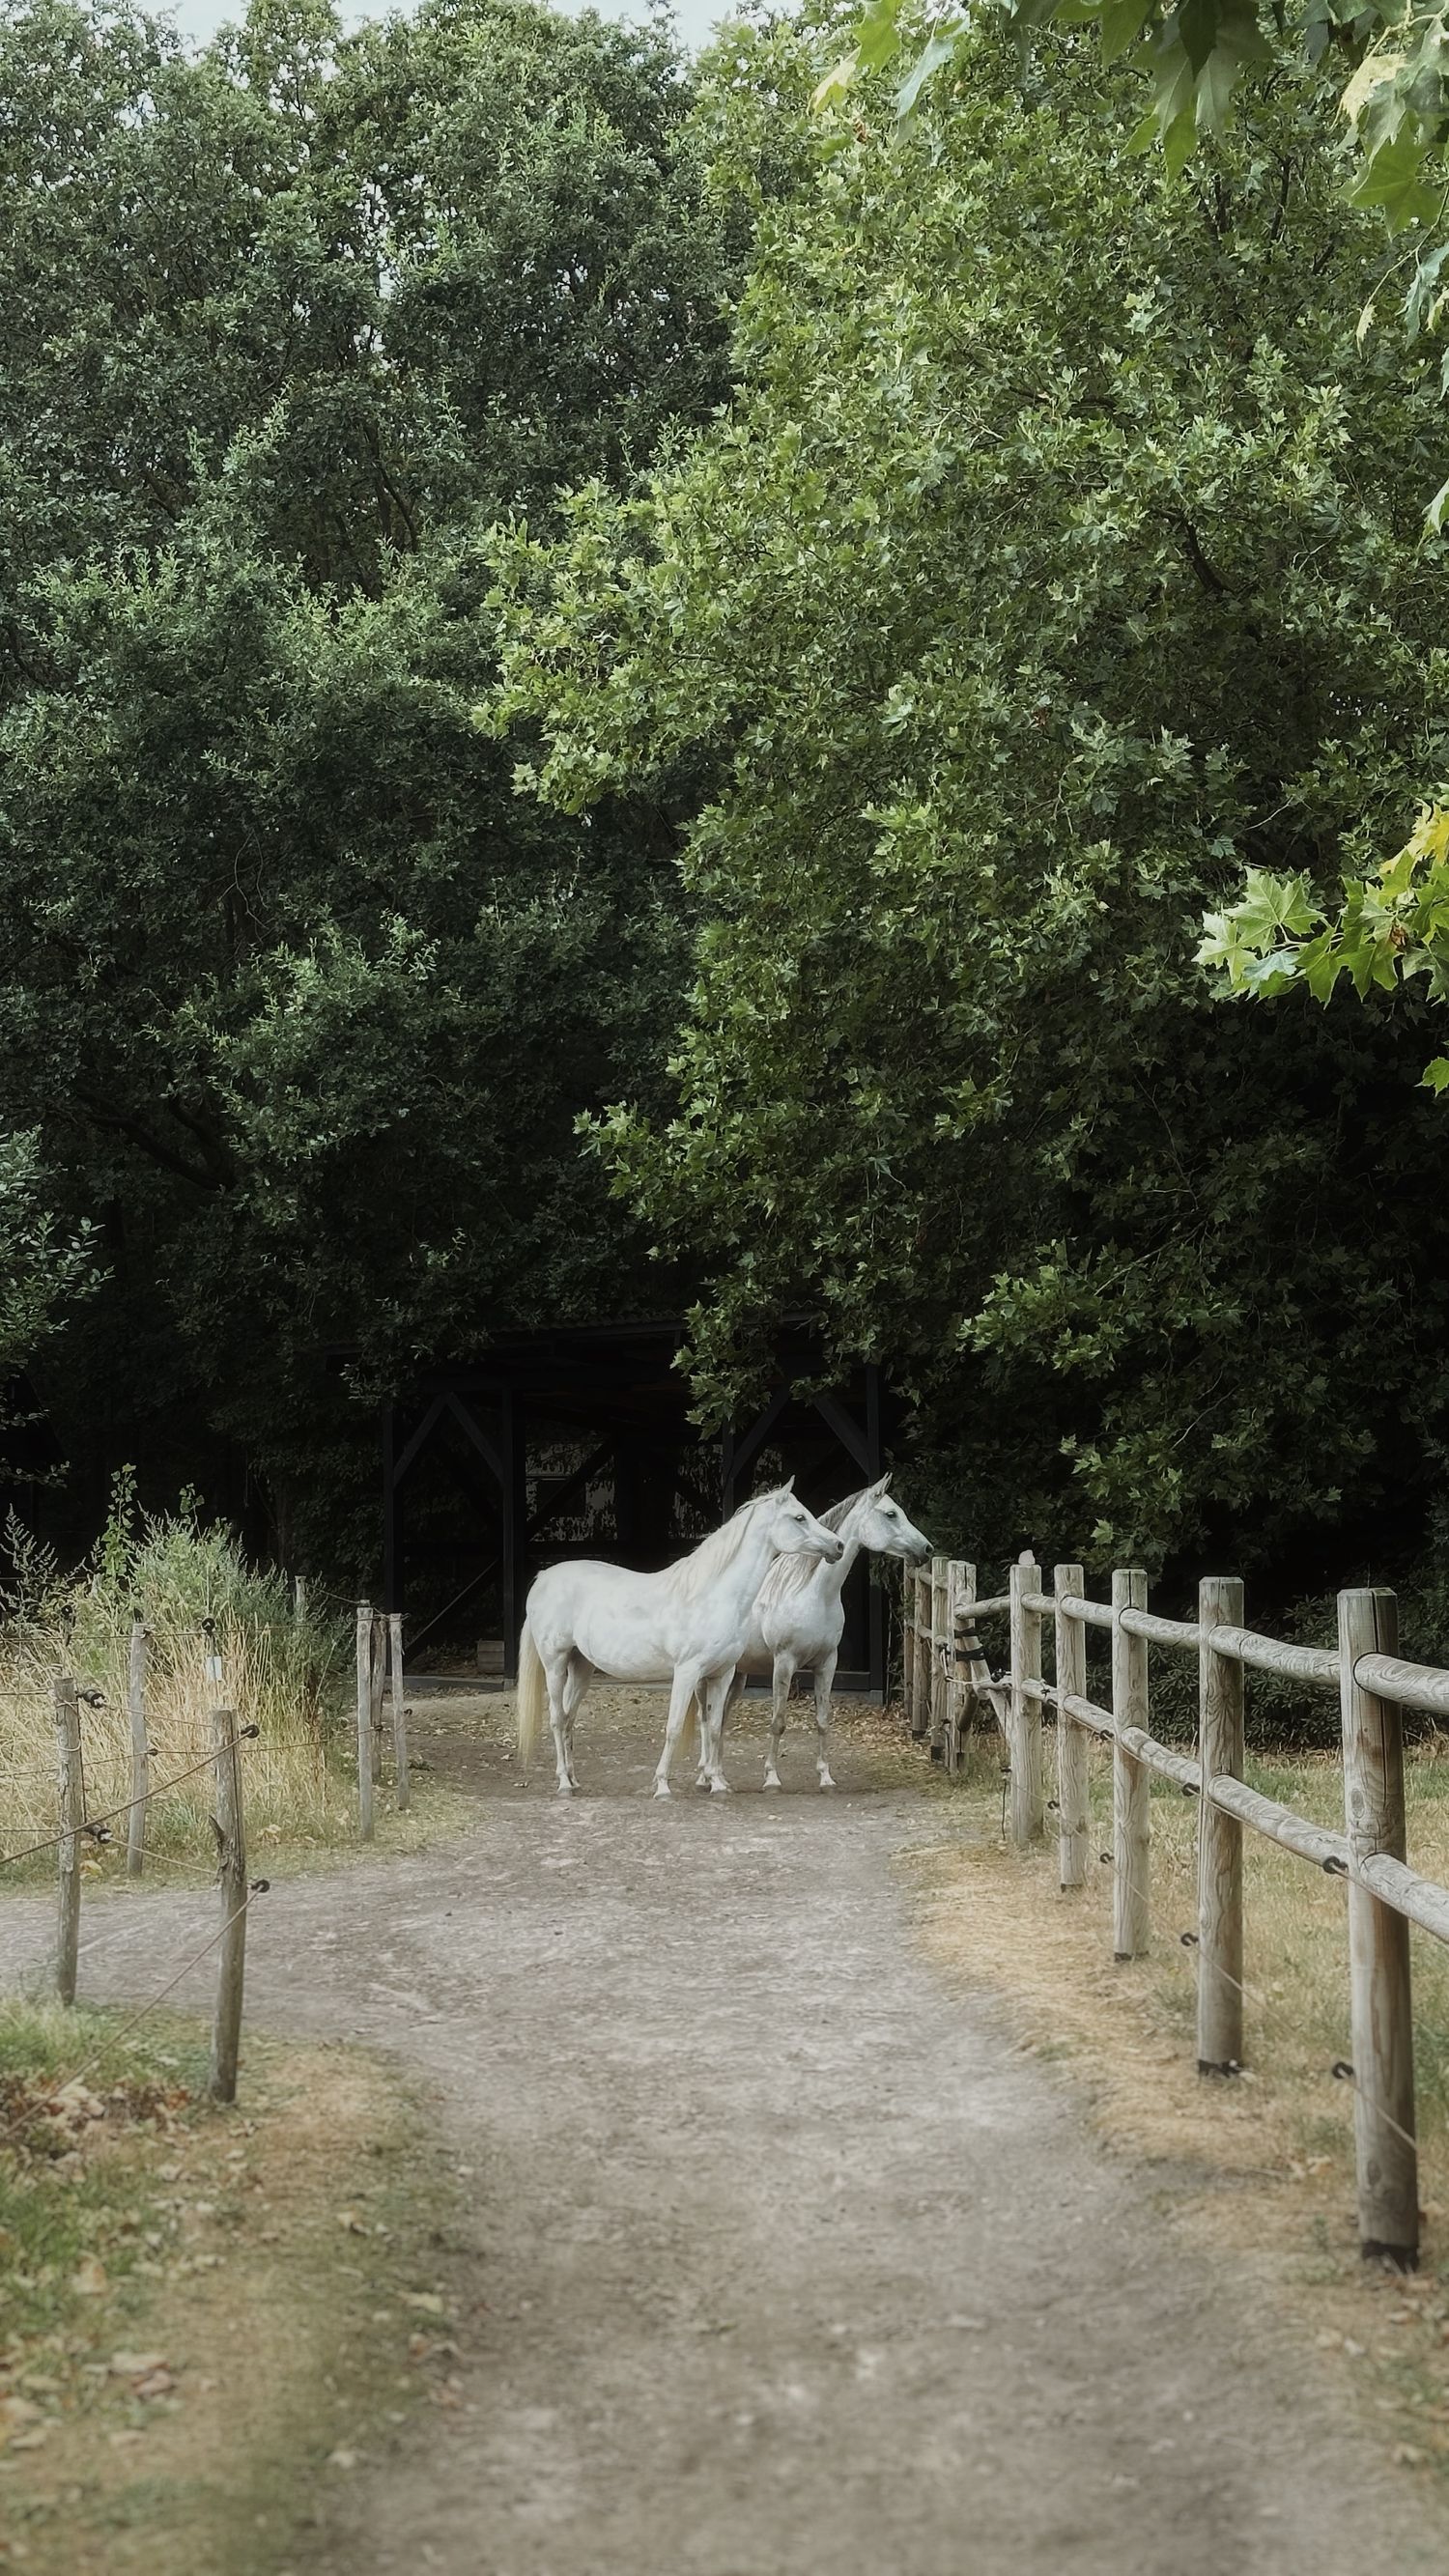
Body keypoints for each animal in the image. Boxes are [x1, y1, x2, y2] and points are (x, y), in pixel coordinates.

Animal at [515, 1482, 845, 1798]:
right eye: (799, 1517)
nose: (838, 1545)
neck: (711, 1597)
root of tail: (543, 1579)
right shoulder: (686, 1672)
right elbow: (674, 1728)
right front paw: (662, 1786)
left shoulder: (722, 1674)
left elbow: (714, 1728)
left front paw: (717, 1784)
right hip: (555, 1663)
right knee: (557, 1719)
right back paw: (563, 1783)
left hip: (581, 1666)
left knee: (569, 1718)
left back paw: (574, 1780)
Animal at [697, 1476, 932, 1792]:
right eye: (891, 1514)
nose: (927, 1549)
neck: (813, 1594)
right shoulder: (784, 1663)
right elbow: (778, 1721)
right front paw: (771, 1778)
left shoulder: (826, 1664)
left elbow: (822, 1720)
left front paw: (825, 1777)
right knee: (704, 1718)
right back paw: (704, 1777)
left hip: (736, 1675)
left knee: (719, 1720)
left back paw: (720, 1777)